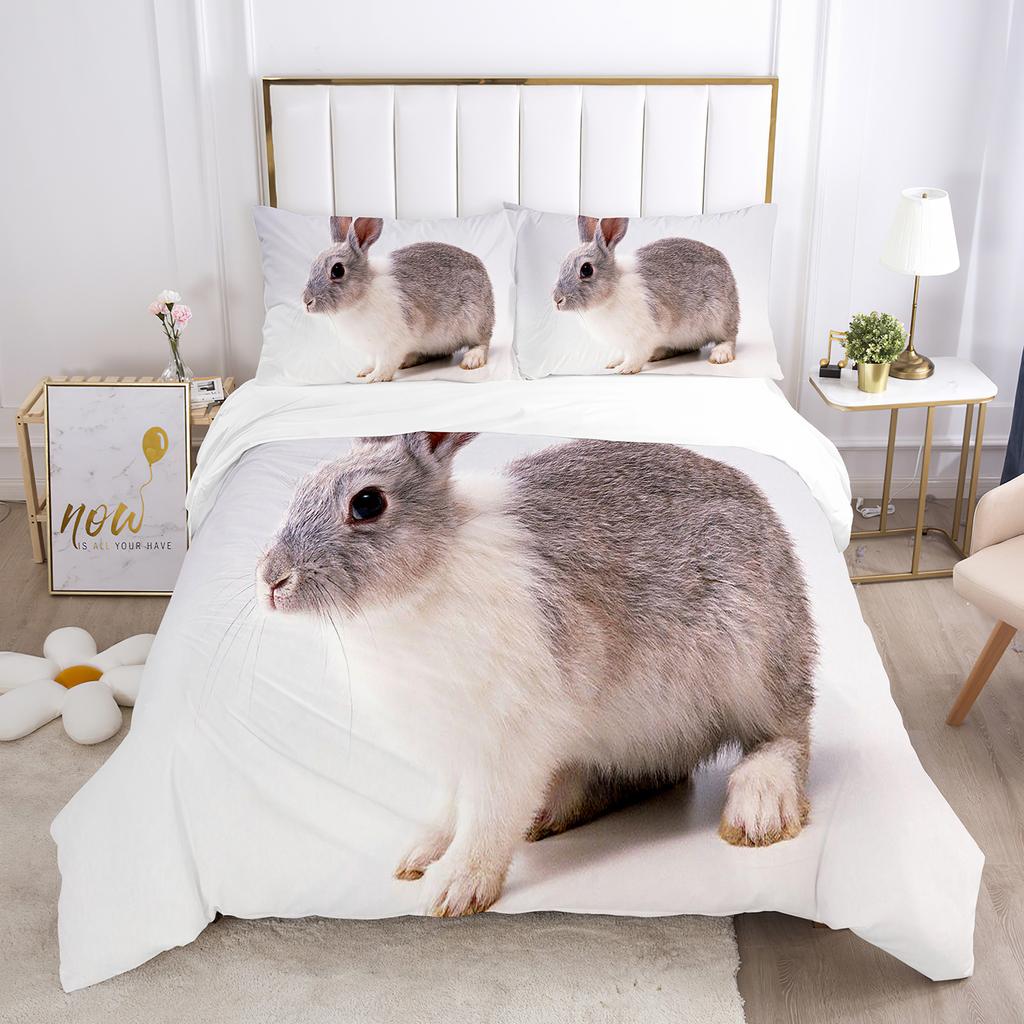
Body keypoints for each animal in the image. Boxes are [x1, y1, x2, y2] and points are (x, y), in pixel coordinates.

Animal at [257, 432, 816, 918]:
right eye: (302, 487)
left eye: (368, 503)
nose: (271, 580)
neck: (429, 576)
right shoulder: (453, 749)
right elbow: (448, 807)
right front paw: (417, 856)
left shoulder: (508, 738)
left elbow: (488, 814)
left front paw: (455, 888)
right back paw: (555, 809)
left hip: (756, 664)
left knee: (787, 737)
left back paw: (759, 809)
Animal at [302, 216, 495, 382]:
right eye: (313, 264)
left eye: (337, 270)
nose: (306, 302)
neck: (364, 292)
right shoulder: (373, 349)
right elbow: (372, 360)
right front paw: (364, 371)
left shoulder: (394, 341)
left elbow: (386, 362)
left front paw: (375, 377)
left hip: (475, 320)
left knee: (482, 343)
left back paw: (472, 360)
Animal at [553, 216, 741, 373]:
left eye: (586, 270)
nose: (557, 300)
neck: (613, 288)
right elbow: (623, 353)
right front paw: (613, 362)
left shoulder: (643, 335)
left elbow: (637, 355)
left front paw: (625, 369)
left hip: (720, 317)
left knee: (729, 338)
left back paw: (720, 354)